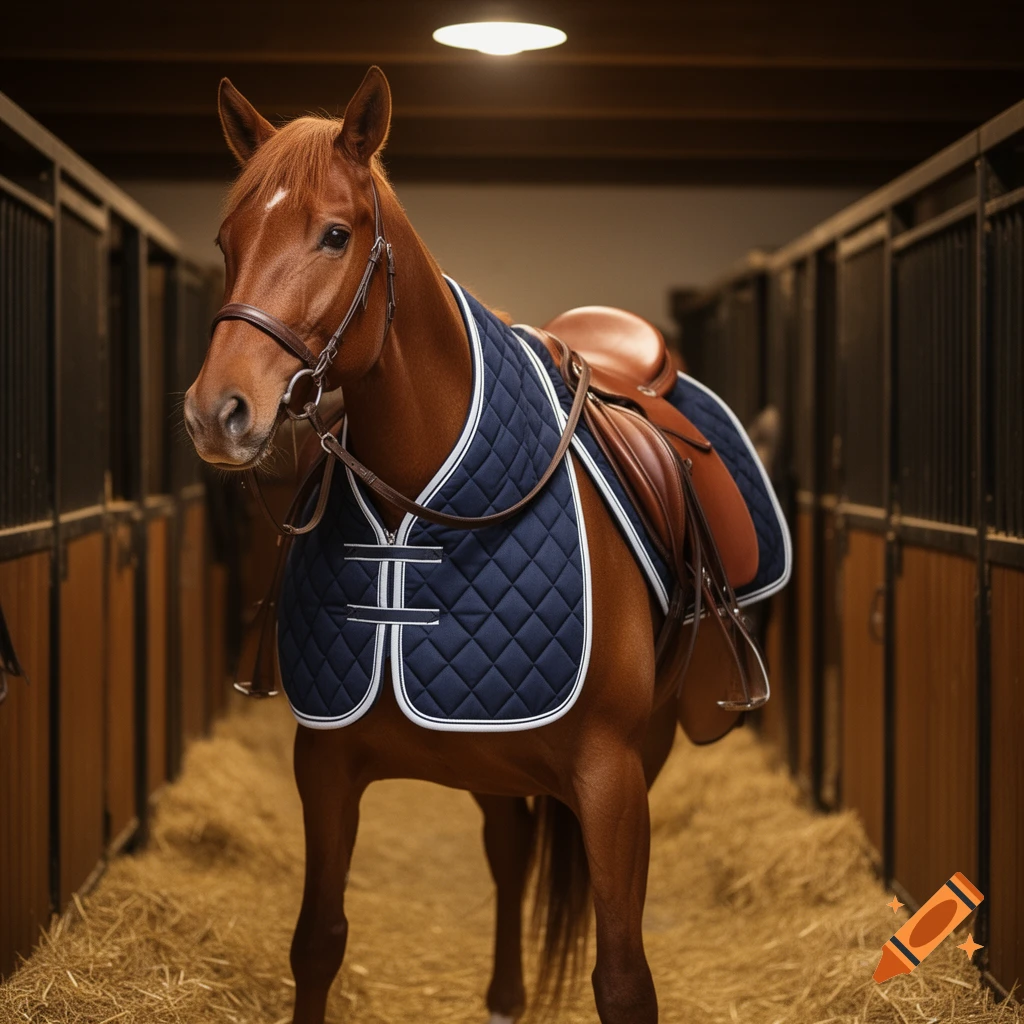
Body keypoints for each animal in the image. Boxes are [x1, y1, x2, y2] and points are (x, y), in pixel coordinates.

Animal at [184, 66, 754, 1024]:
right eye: (228, 239)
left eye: (335, 235)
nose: (216, 412)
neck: (422, 511)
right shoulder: (325, 763)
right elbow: (318, 941)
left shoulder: (611, 779)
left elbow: (624, 979)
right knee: (511, 851)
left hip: (646, 747)